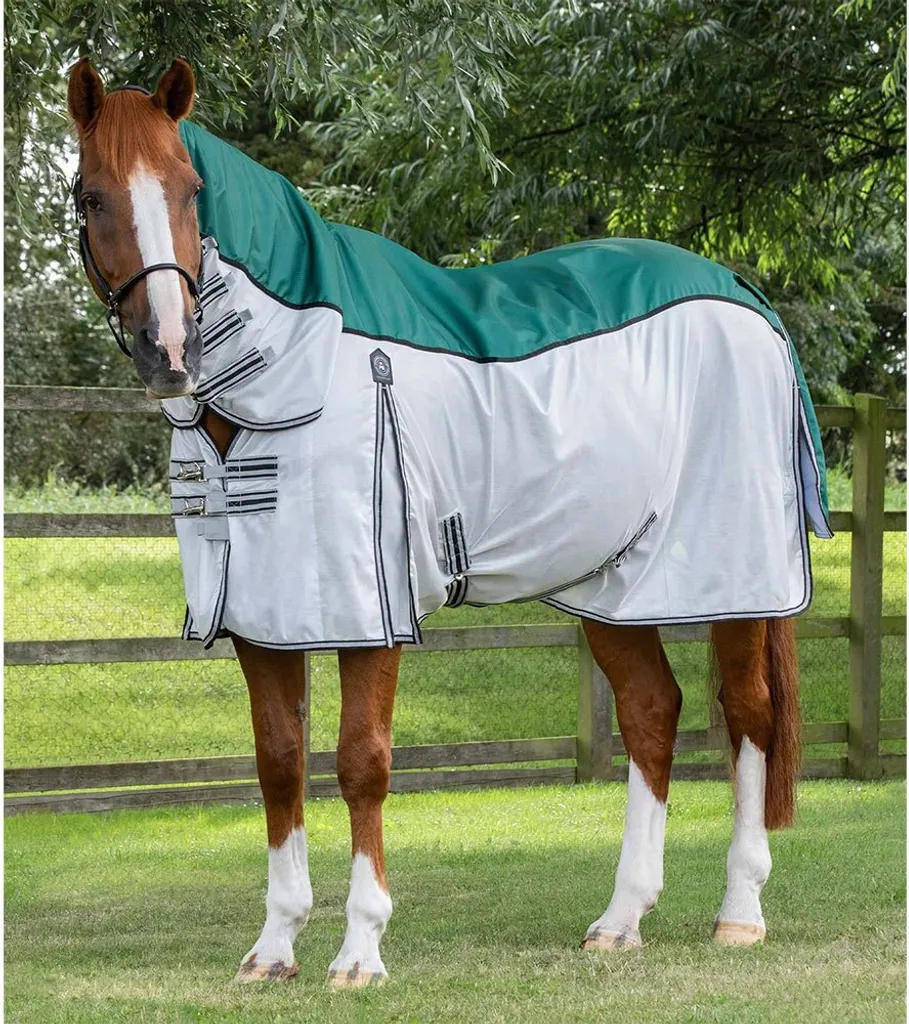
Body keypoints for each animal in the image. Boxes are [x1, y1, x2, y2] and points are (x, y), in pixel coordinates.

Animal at [66, 56, 831, 986]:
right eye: (91, 196)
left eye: (189, 189)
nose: (170, 352)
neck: (288, 369)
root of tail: (744, 294)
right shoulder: (264, 617)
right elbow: (279, 763)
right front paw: (273, 949)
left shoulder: (370, 610)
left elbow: (360, 762)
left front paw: (360, 951)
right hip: (613, 582)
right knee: (652, 713)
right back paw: (619, 920)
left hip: (731, 575)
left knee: (749, 716)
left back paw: (739, 913)